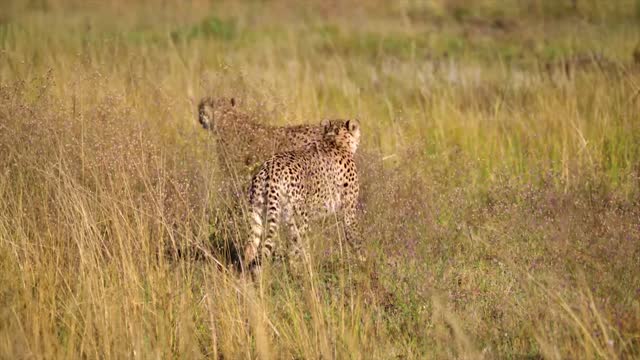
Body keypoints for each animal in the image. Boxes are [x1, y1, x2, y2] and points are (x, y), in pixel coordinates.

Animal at [242, 119, 360, 274]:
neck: (335, 140)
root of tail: (270, 170)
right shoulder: (349, 213)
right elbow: (354, 237)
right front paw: (366, 264)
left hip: (256, 213)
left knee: (250, 248)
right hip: (299, 220)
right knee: (293, 252)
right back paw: (302, 274)